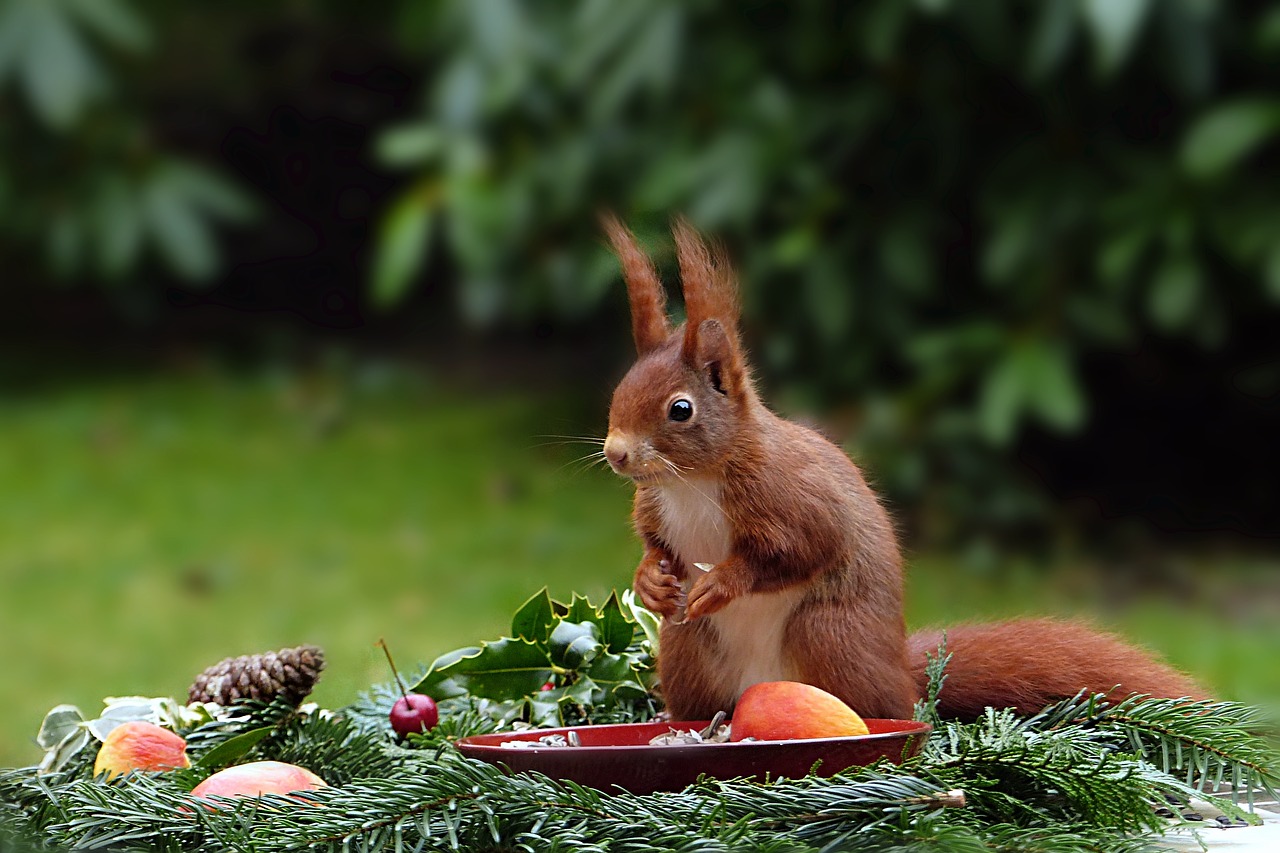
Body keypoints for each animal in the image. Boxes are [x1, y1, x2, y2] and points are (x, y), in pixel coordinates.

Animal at [593, 213, 1203, 717]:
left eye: (680, 410)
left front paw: (722, 580)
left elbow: (803, 545)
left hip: (828, 633)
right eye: (620, 388)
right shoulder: (656, 504)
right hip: (687, 647)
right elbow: (656, 543)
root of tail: (904, 676)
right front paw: (650, 579)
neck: (694, 481)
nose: (616, 452)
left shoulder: (788, 494)